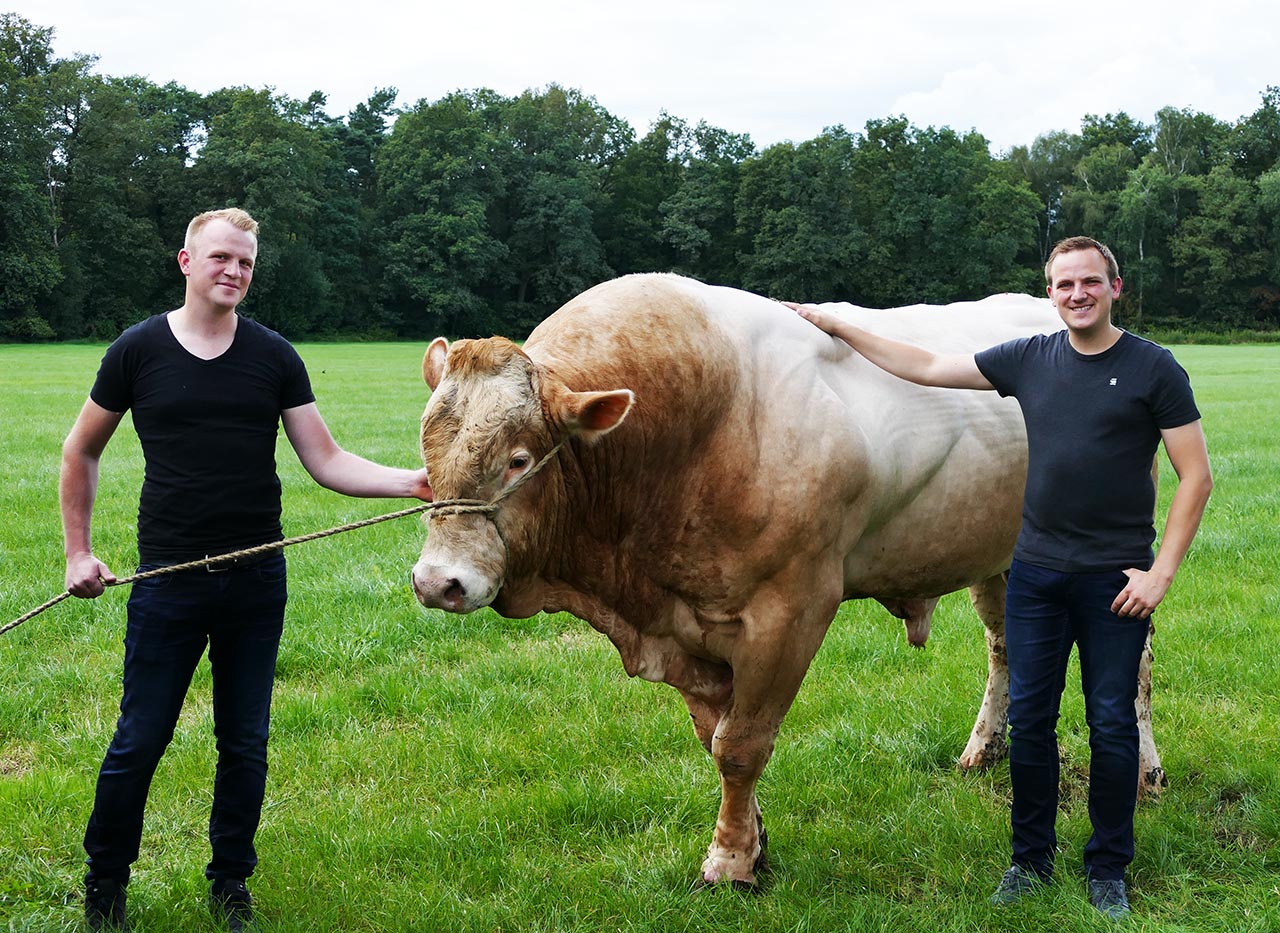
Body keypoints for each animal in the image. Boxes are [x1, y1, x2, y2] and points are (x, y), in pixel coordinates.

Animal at [407, 272, 1162, 885]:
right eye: (427, 454)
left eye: (517, 458)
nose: (437, 581)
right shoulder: (686, 626)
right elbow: (714, 735)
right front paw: (754, 841)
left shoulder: (791, 609)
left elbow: (741, 746)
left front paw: (730, 863)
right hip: (1000, 556)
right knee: (1005, 648)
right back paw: (984, 749)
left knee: (1137, 668)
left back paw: (1146, 774)